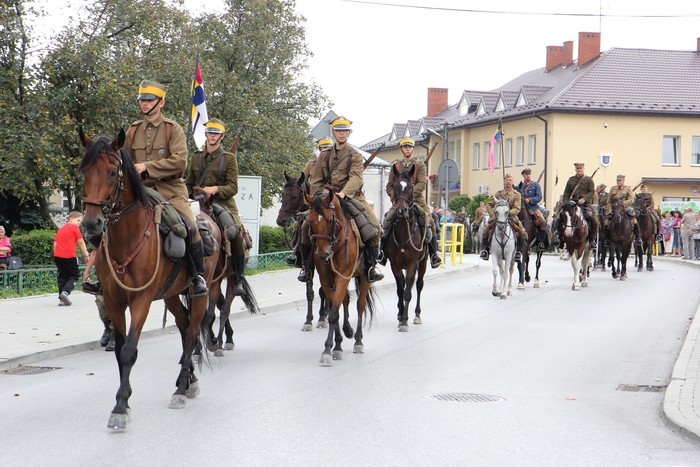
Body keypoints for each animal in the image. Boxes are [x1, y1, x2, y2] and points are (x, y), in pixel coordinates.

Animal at [77, 129, 219, 432]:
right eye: (84, 171)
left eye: (112, 172)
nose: (91, 225)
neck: (127, 239)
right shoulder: (113, 300)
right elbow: (119, 350)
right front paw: (124, 399)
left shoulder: (141, 299)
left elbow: (130, 350)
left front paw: (120, 407)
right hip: (171, 294)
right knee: (184, 326)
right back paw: (189, 380)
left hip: (201, 292)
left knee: (192, 332)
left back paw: (181, 388)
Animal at [276, 173, 328, 332]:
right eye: (282, 195)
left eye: (294, 196)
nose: (281, 221)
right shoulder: (308, 264)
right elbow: (310, 292)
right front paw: (308, 321)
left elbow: (323, 291)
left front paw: (322, 317)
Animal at [302, 188, 374, 368]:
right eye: (311, 221)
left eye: (329, 221)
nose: (323, 255)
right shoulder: (326, 279)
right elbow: (334, 308)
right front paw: (337, 345)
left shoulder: (343, 277)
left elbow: (334, 312)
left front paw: (328, 350)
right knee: (345, 300)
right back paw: (347, 331)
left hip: (364, 277)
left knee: (360, 305)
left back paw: (358, 341)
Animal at [382, 165, 426, 332]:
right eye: (395, 186)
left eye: (411, 187)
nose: (401, 210)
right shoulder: (395, 265)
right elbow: (400, 290)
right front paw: (401, 316)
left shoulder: (413, 264)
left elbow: (407, 291)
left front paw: (405, 321)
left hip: (423, 263)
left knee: (418, 286)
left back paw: (417, 315)